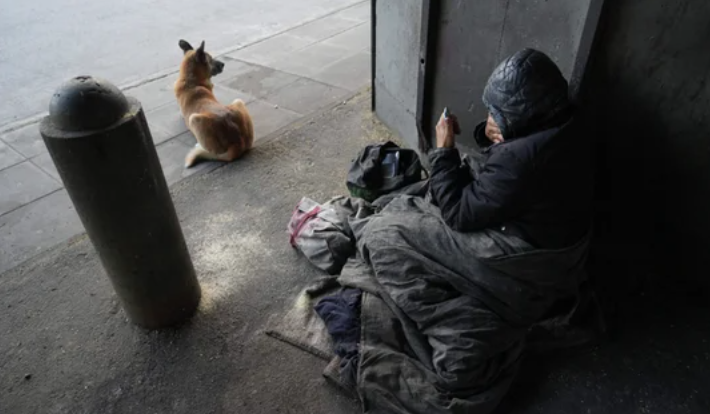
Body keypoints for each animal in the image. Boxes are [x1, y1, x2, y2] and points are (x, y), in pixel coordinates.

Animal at [176, 39, 256, 168]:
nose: (223, 64)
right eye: (211, 59)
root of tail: (238, 142)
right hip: (238, 101)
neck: (191, 81)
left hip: (194, 119)